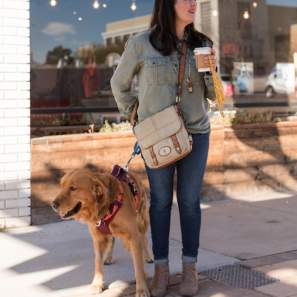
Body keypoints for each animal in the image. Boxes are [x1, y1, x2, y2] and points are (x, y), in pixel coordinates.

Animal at [51, 168, 151, 296]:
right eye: (61, 186)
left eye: (73, 188)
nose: (53, 204)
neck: (106, 208)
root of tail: (132, 173)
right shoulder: (98, 238)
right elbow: (97, 262)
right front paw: (97, 284)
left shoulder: (133, 236)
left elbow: (138, 267)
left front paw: (142, 289)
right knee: (112, 240)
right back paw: (108, 258)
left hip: (142, 221)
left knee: (144, 238)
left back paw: (148, 256)